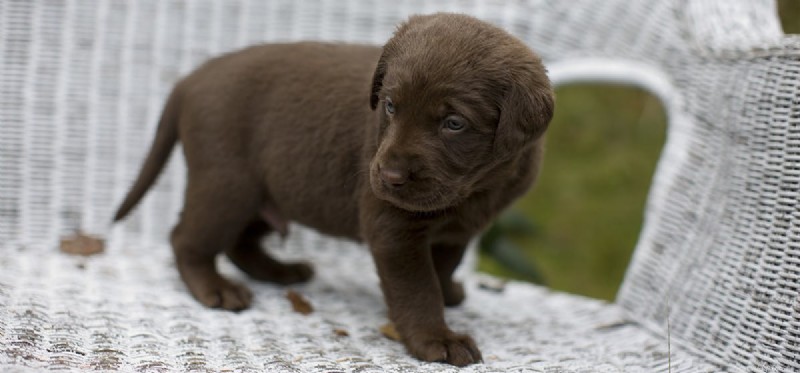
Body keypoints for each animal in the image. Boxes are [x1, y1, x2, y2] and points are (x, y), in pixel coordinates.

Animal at [115, 13, 552, 364]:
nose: (389, 177)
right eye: (390, 105)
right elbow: (417, 289)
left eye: (454, 123)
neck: (476, 187)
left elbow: (442, 267)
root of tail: (191, 79)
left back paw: (281, 270)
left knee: (240, 242)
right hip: (227, 185)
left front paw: (447, 294)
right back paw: (216, 289)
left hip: (273, 191)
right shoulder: (394, 229)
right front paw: (436, 338)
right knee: (187, 239)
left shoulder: (456, 231)